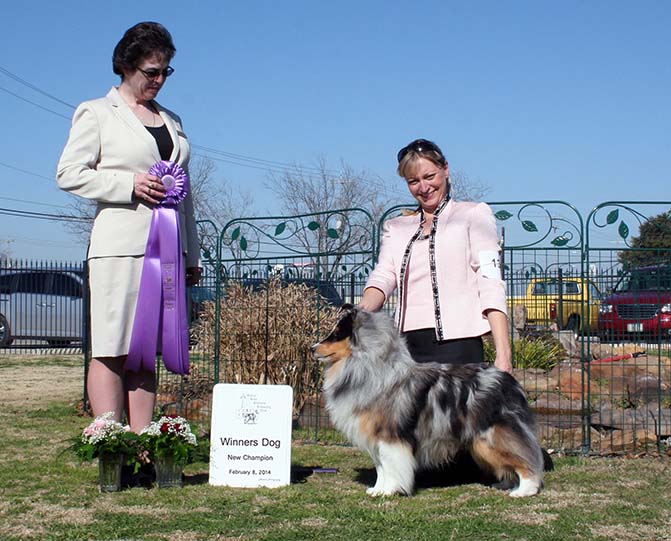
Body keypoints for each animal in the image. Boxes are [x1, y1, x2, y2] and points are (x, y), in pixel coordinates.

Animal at [312, 306, 548, 496]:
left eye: (336, 334)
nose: (312, 348)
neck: (369, 367)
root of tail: (510, 380)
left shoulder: (390, 437)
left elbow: (390, 465)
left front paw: (389, 491)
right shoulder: (377, 436)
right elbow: (381, 467)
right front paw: (378, 490)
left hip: (494, 437)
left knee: (526, 460)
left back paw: (524, 490)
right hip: (482, 443)